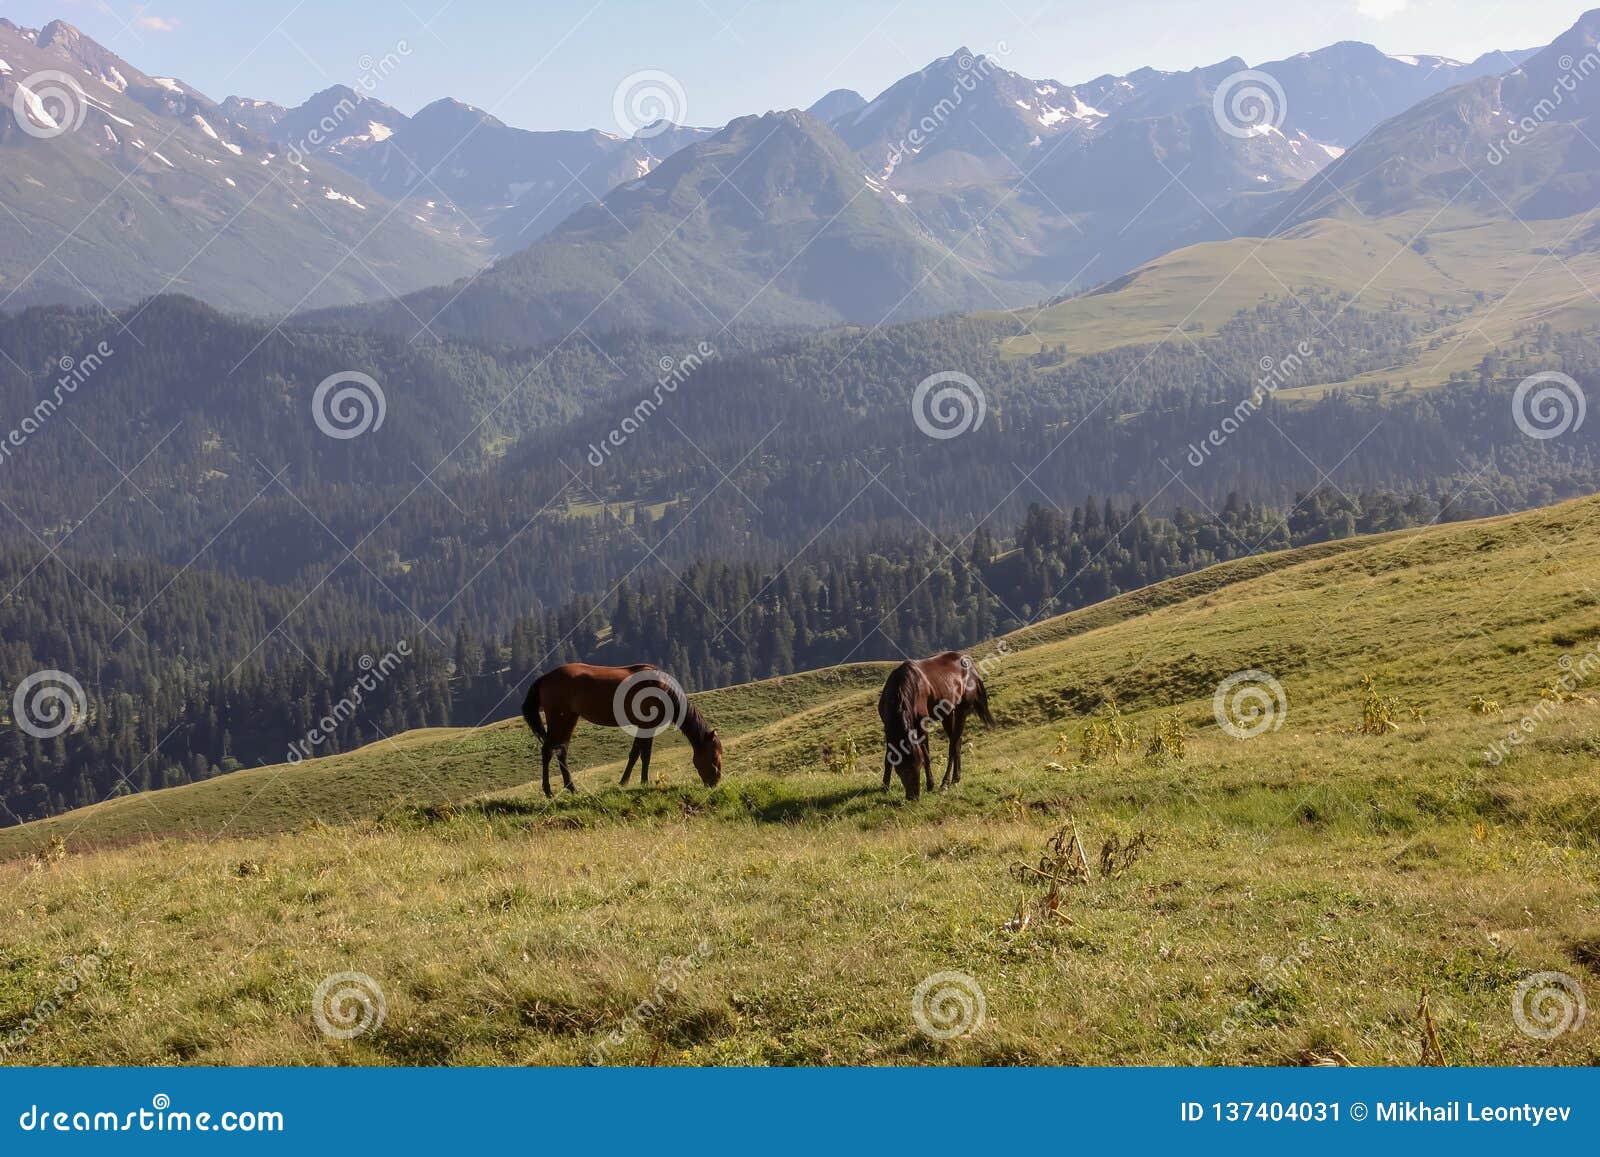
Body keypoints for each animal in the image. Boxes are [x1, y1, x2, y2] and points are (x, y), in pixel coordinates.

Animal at [521, 663, 722, 797]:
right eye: (714, 758)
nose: (714, 783)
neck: (664, 690)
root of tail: (544, 678)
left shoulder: (645, 726)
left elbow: (638, 753)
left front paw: (633, 781)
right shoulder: (647, 725)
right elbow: (642, 754)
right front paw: (636, 781)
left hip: (570, 718)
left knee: (561, 751)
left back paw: (571, 788)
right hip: (559, 718)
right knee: (547, 750)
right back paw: (548, 791)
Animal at [877, 651, 995, 800]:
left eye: (918, 765)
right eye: (902, 770)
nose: (913, 797)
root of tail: (972, 668)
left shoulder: (922, 726)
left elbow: (926, 755)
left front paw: (930, 784)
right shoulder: (888, 729)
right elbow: (888, 757)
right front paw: (884, 786)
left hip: (961, 710)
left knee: (953, 745)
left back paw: (945, 783)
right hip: (948, 713)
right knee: (957, 741)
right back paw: (956, 778)